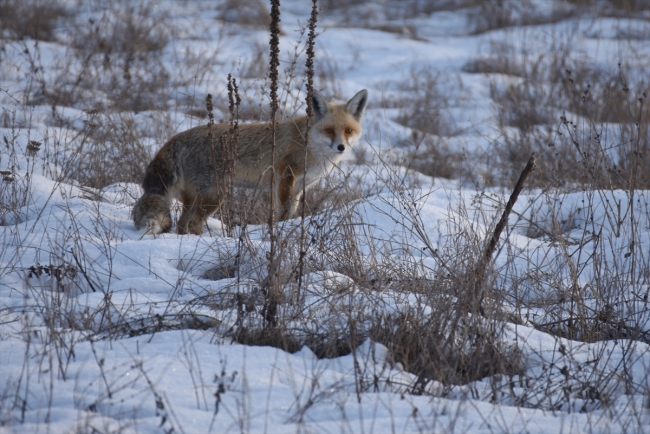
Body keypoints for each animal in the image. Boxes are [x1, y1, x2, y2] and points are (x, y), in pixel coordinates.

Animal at [130, 89, 370, 236]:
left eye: (348, 131)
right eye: (329, 130)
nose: (341, 147)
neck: (308, 142)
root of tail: (175, 138)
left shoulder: (300, 188)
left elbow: (291, 212)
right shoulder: (285, 176)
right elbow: (282, 213)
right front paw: (280, 231)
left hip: (194, 197)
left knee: (182, 224)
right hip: (214, 196)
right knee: (194, 224)